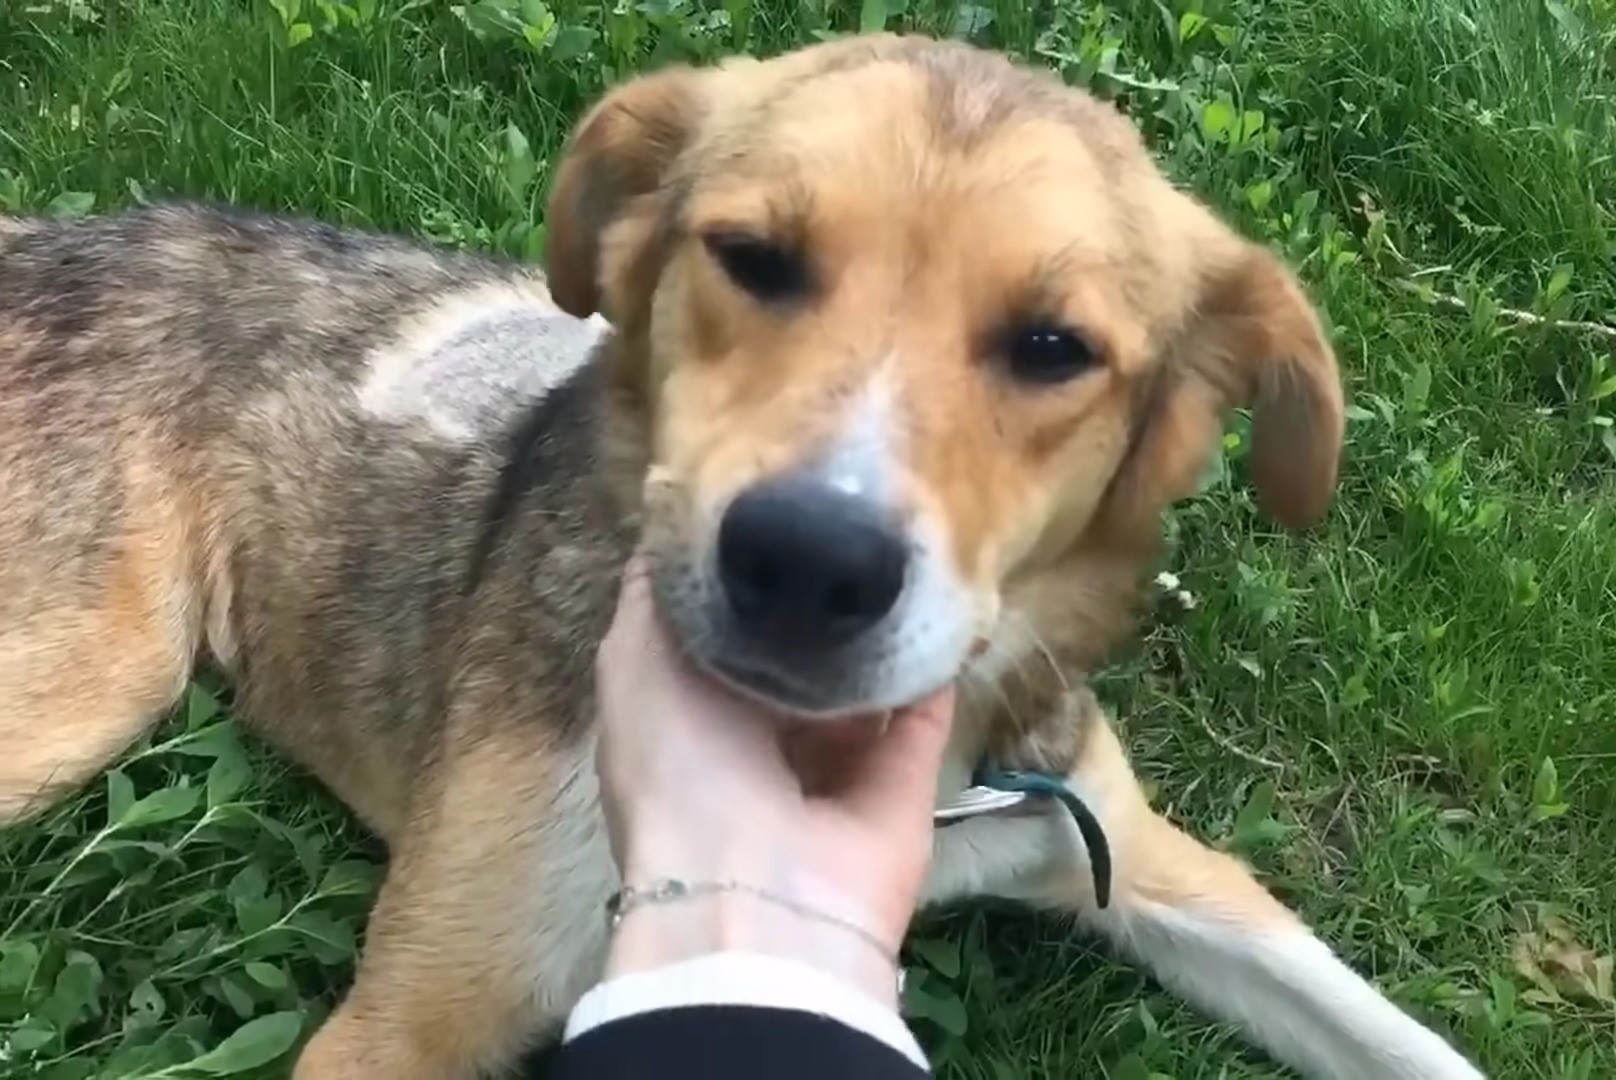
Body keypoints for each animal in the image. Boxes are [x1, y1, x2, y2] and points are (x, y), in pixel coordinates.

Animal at [0, 33, 1480, 1080]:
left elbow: (1398, 1037)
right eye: (753, 257)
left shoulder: (1138, 853)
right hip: (89, 687)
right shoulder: (398, 1029)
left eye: (1053, 346)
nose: (808, 564)